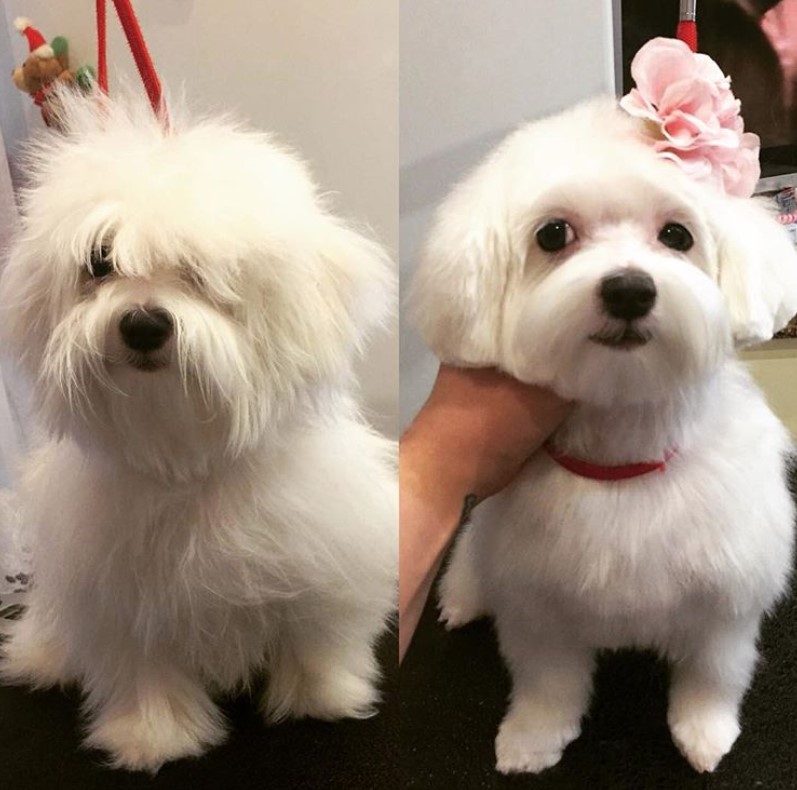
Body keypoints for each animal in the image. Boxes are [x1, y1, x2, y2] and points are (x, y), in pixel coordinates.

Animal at [0, 88, 398, 772]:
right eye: (99, 263)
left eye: (199, 269)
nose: (142, 324)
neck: (187, 458)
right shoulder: (123, 600)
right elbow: (144, 670)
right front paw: (152, 736)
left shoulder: (324, 560)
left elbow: (316, 634)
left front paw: (322, 697)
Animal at [414, 97, 797, 772]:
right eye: (552, 235)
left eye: (677, 235)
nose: (628, 289)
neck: (624, 457)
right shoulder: (537, 606)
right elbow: (547, 682)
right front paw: (531, 738)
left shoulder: (725, 600)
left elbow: (712, 672)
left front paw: (704, 732)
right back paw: (461, 599)